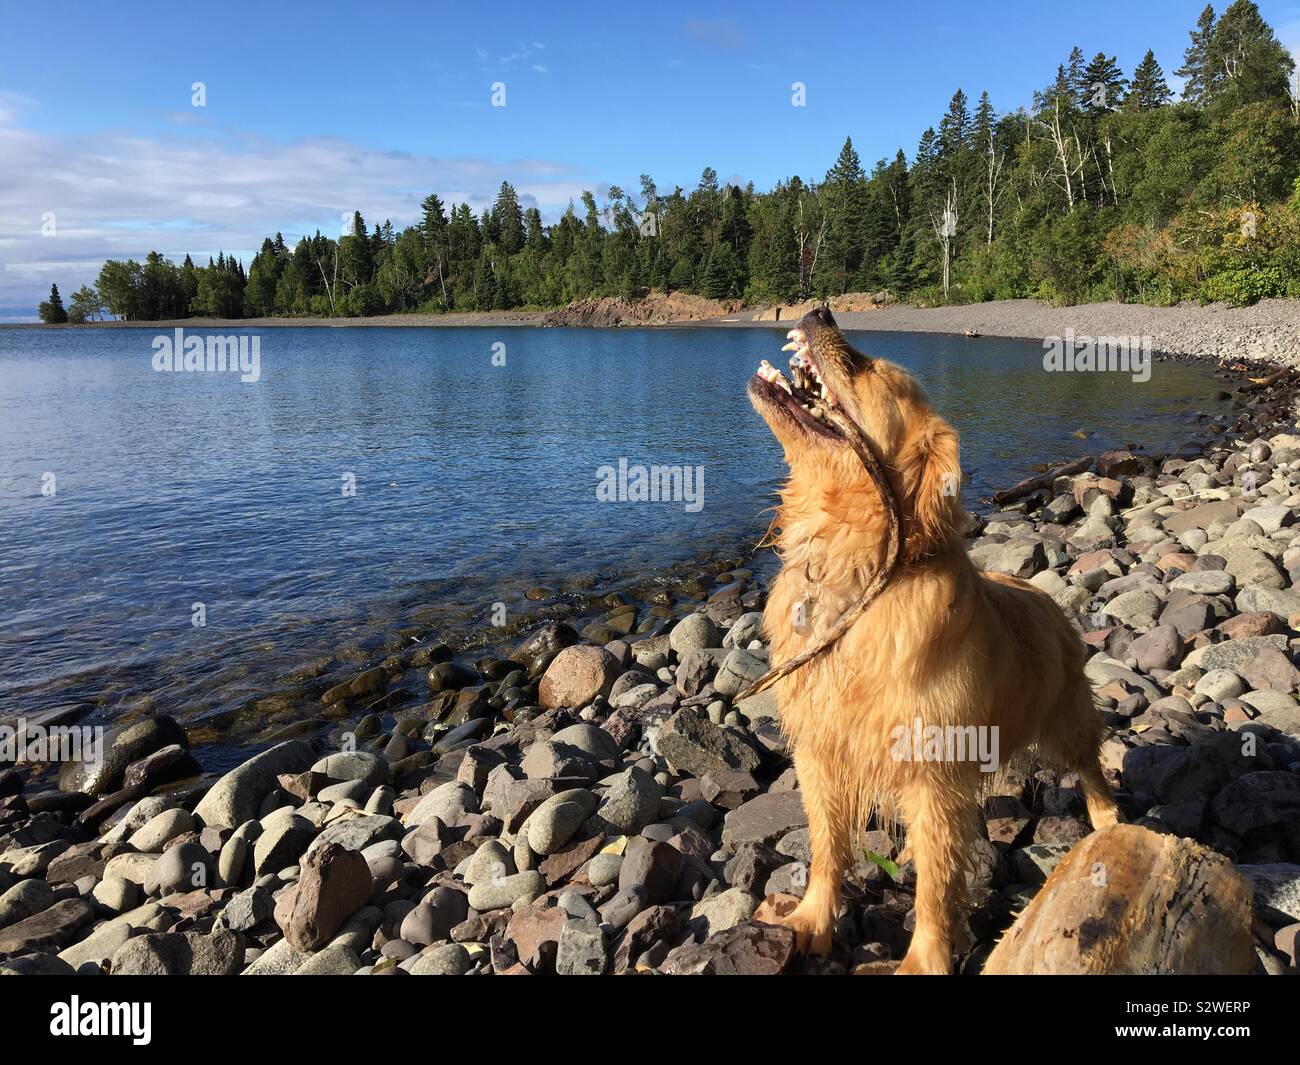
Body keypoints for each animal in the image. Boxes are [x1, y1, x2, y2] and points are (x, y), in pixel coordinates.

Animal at [754, 305, 1118, 972]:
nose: (819, 310)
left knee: (1090, 765)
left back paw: (1107, 817)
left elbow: (936, 884)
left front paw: (924, 958)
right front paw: (813, 918)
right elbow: (825, 847)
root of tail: (1046, 596)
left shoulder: (935, 776)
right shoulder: (819, 752)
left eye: (867, 366)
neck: (854, 569)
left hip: (1066, 718)